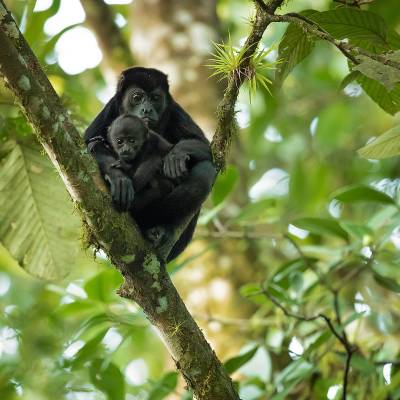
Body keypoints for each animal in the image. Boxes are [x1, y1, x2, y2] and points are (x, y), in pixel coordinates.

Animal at [84, 67, 216, 260]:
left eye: (155, 98)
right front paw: (118, 178)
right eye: (137, 97)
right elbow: (86, 145)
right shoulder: (109, 109)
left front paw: (175, 157)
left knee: (204, 170)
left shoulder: (174, 110)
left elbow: (205, 147)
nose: (146, 109)